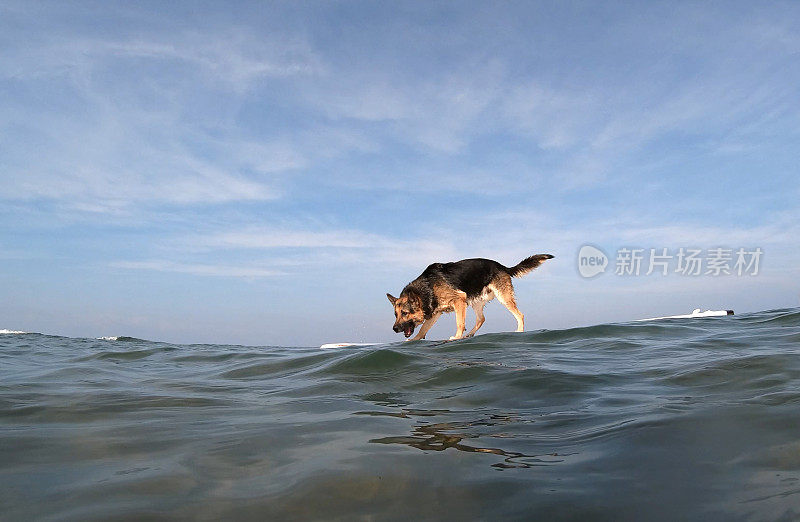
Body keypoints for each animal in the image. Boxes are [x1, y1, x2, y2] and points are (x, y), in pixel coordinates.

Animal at [386, 253, 552, 342]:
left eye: (405, 313)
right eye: (395, 314)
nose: (394, 329)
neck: (427, 287)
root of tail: (502, 267)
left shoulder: (459, 300)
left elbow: (459, 322)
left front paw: (457, 337)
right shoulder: (436, 313)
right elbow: (423, 329)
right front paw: (414, 340)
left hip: (503, 297)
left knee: (519, 314)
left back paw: (519, 331)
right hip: (476, 302)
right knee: (481, 319)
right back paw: (469, 334)